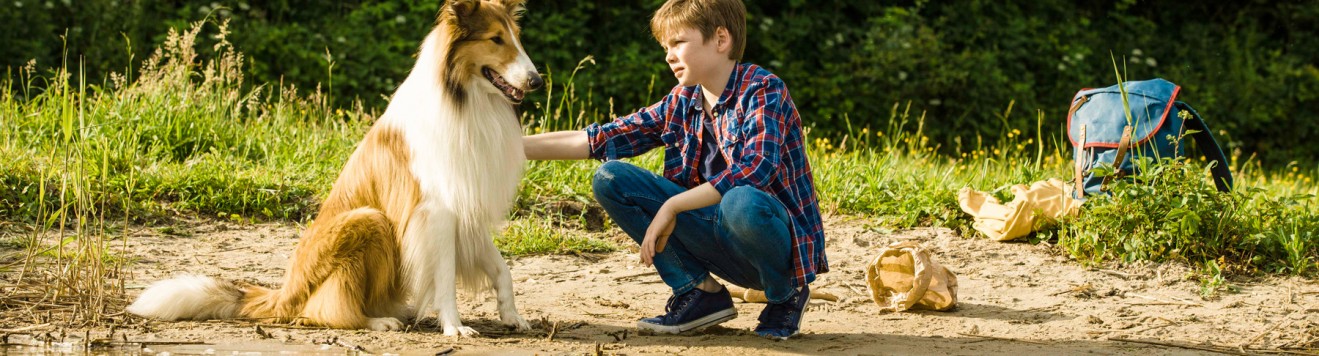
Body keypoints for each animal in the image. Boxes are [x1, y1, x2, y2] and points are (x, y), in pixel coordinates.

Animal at [131, 0, 543, 336]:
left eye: (516, 38)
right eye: (495, 39)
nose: (537, 81)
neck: (465, 99)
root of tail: (286, 294)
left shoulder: (467, 205)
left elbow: (501, 268)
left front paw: (512, 316)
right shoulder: (437, 210)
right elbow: (443, 278)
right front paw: (454, 327)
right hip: (367, 219)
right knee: (325, 310)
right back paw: (378, 321)